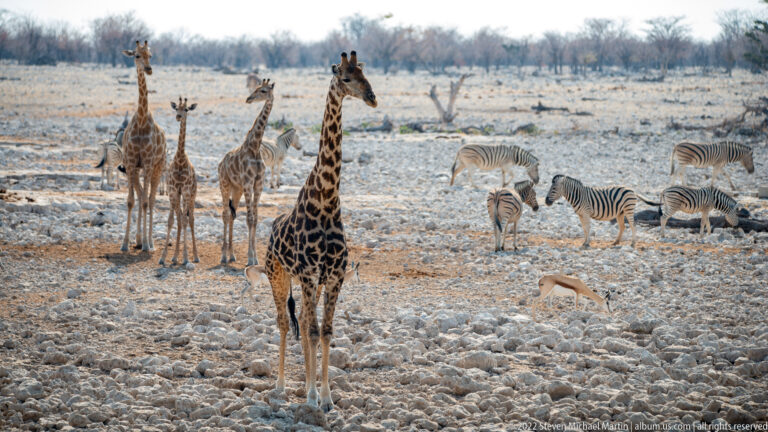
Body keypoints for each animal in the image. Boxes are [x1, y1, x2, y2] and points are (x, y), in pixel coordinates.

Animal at [217, 78, 274, 265]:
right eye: (255, 88)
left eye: (263, 90)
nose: (248, 99)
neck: (255, 147)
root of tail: (221, 163)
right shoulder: (249, 184)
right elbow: (249, 219)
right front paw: (250, 258)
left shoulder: (258, 185)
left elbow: (255, 219)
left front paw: (255, 257)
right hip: (224, 185)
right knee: (225, 214)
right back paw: (223, 256)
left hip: (237, 189)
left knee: (232, 214)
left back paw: (232, 255)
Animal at [262, 51, 377, 411]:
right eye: (345, 78)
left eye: (365, 74)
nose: (372, 98)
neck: (325, 201)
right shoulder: (311, 274)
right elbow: (311, 331)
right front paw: (312, 396)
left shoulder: (333, 276)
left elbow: (325, 331)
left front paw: (326, 397)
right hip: (278, 275)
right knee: (285, 323)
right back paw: (281, 387)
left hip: (303, 281)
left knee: (302, 322)